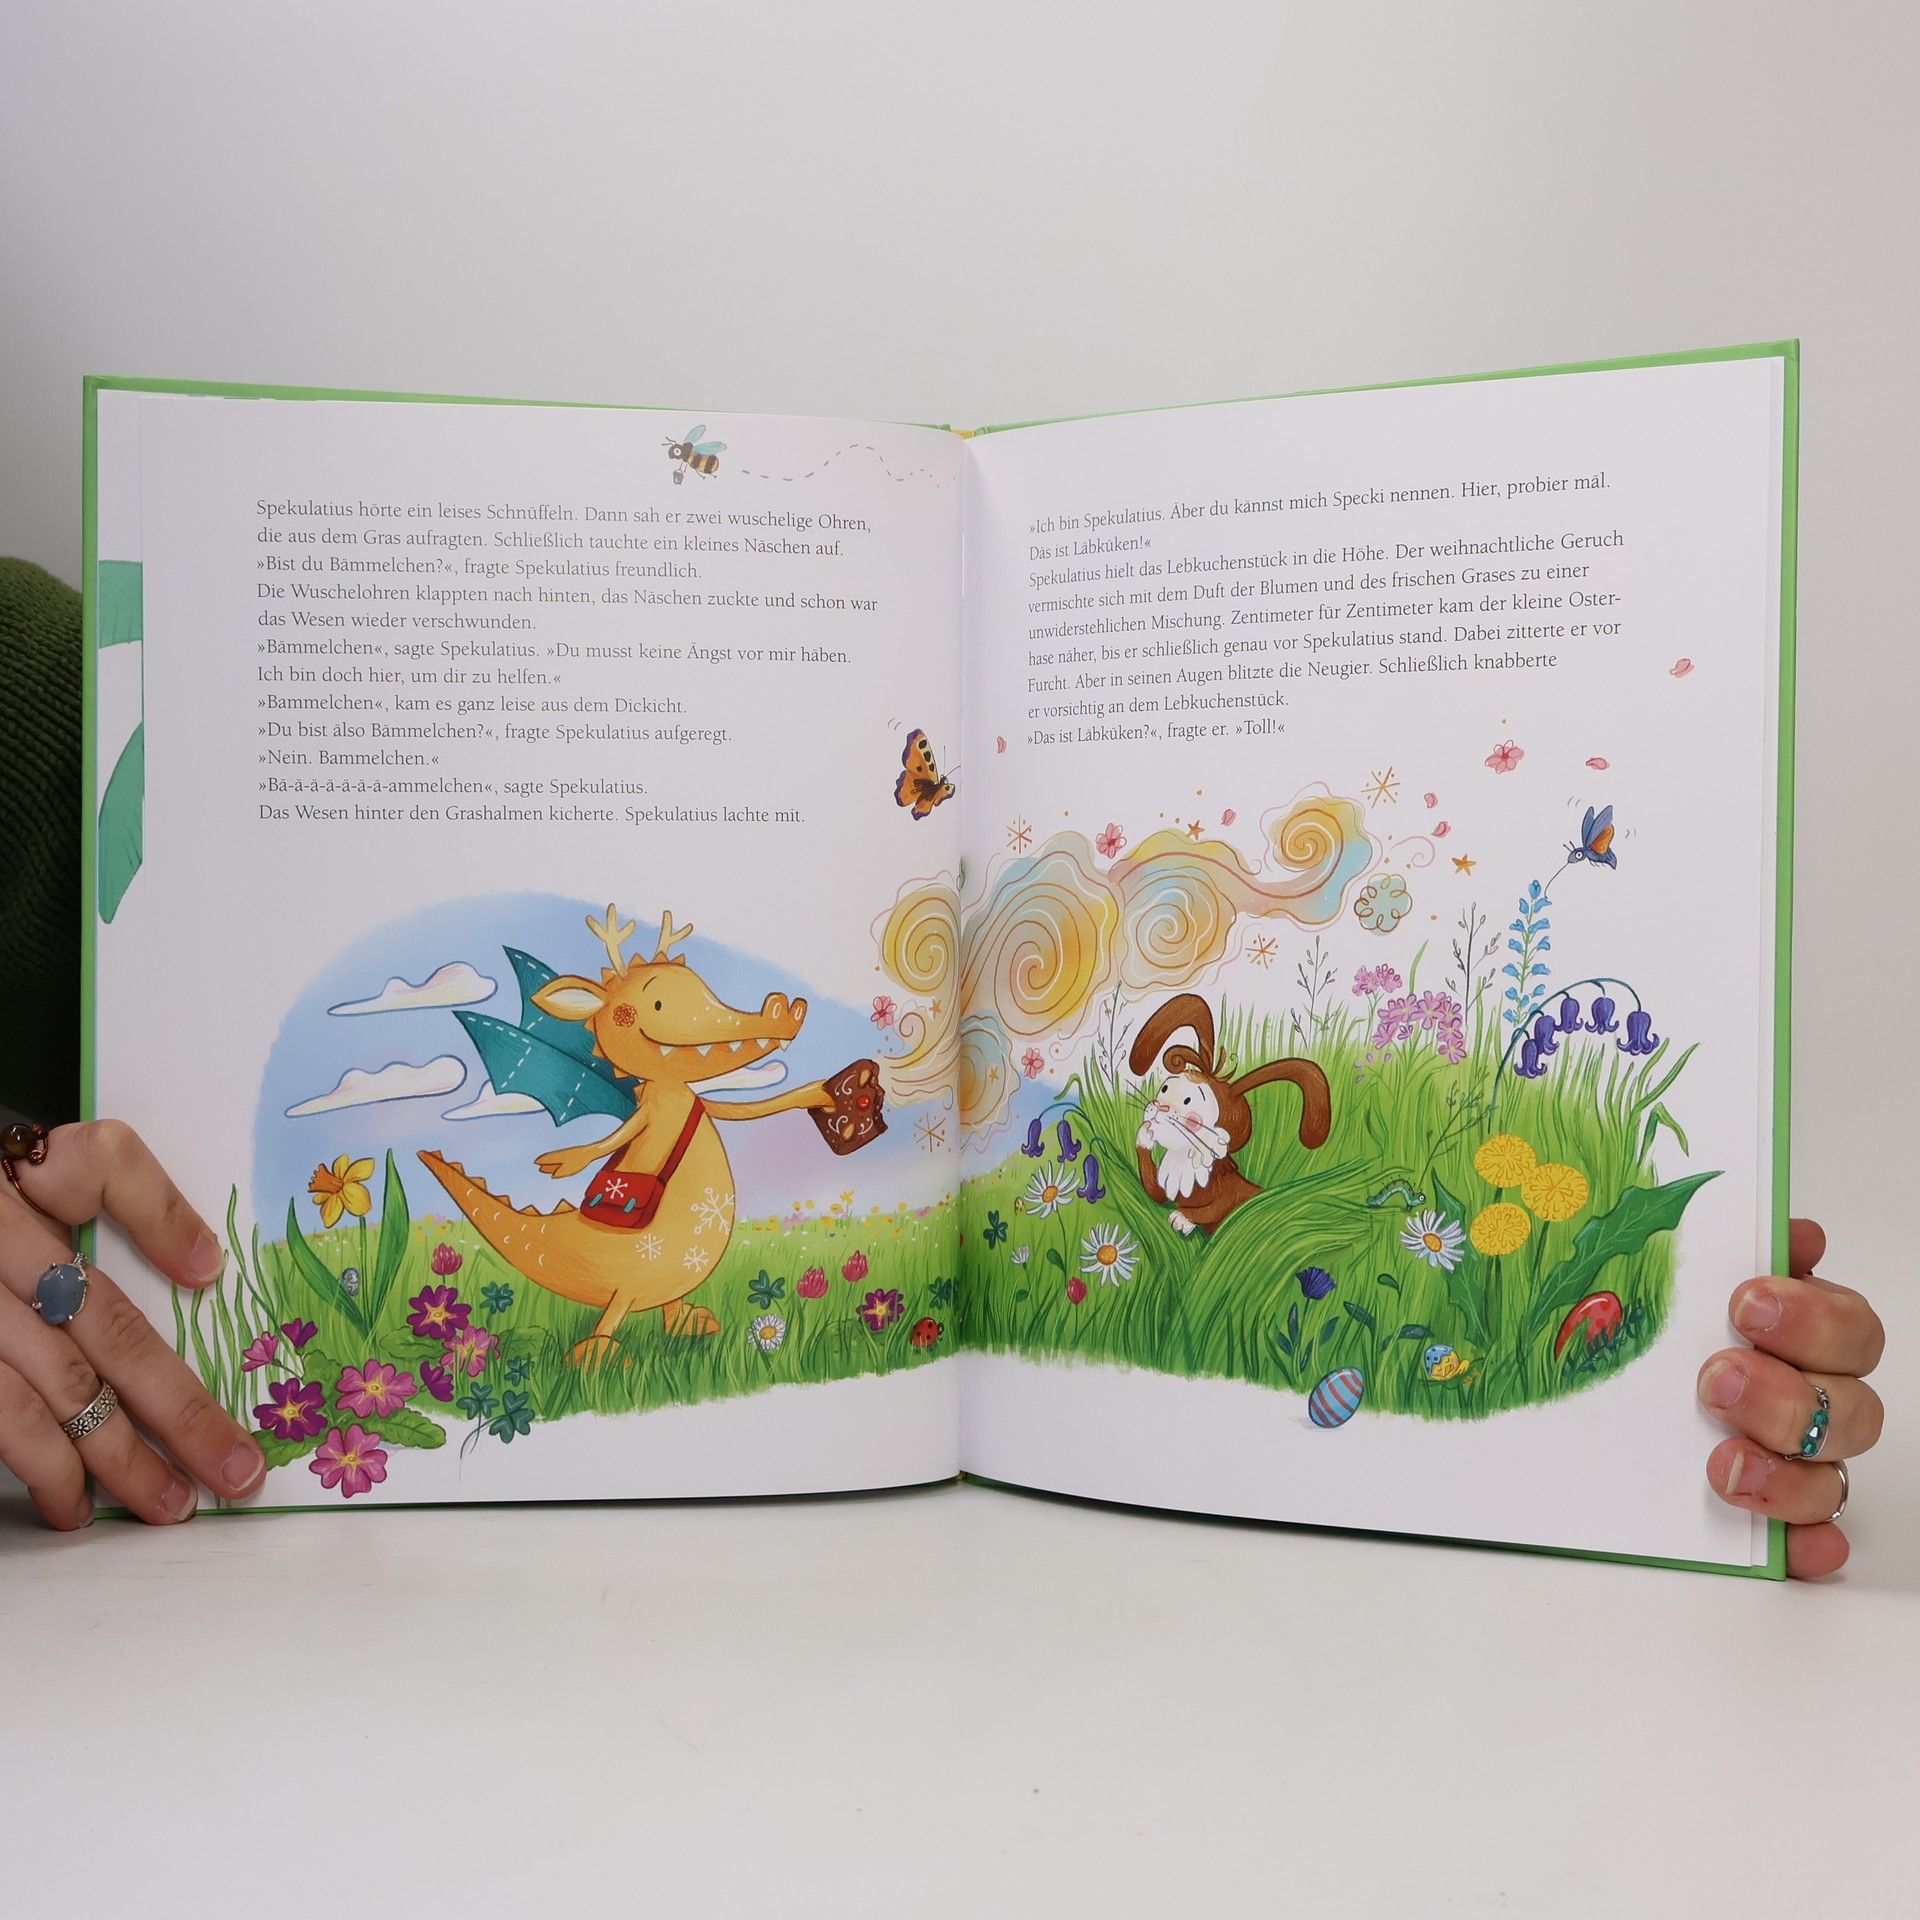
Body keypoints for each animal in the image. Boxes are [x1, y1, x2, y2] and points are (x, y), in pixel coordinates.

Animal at [1128, 991, 1332, 1236]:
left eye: (1188, 1100)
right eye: (1165, 1088)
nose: (1160, 1107)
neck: (1186, 1158)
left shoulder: (1224, 1194)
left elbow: (1216, 1208)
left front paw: (1183, 1217)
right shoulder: (1166, 1188)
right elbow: (1155, 1191)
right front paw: (1144, 1134)